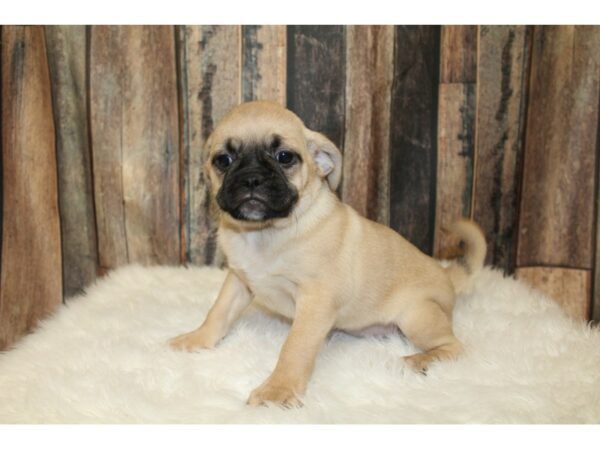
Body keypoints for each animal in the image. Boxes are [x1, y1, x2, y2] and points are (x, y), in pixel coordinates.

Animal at [170, 100, 488, 406]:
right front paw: (196, 339)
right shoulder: (238, 281)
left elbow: (295, 347)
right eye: (223, 160)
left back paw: (418, 361)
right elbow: (218, 312)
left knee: (454, 346)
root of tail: (447, 276)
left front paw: (277, 391)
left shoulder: (315, 301)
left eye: (285, 157)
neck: (265, 233)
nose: (251, 179)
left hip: (417, 315)